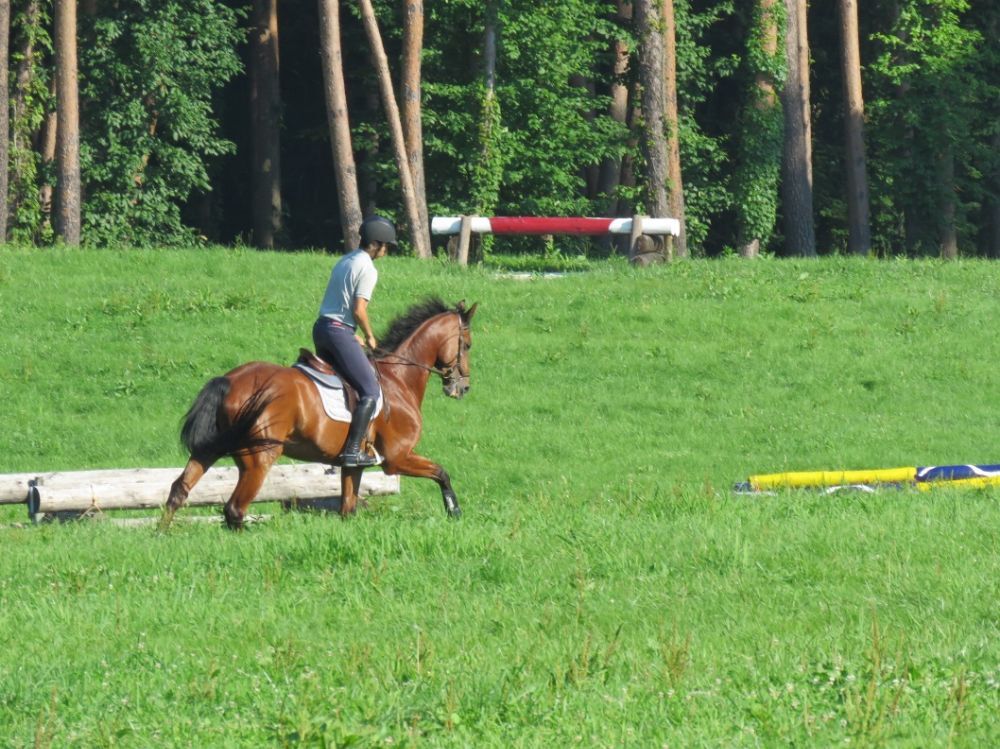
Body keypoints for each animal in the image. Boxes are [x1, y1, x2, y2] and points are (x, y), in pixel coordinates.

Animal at [160, 296, 476, 528]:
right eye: (469, 345)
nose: (463, 388)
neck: (399, 379)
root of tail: (230, 380)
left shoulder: (353, 465)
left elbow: (348, 507)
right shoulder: (397, 458)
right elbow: (442, 473)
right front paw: (454, 512)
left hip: (210, 448)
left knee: (178, 490)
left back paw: (162, 534)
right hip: (259, 457)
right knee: (234, 508)